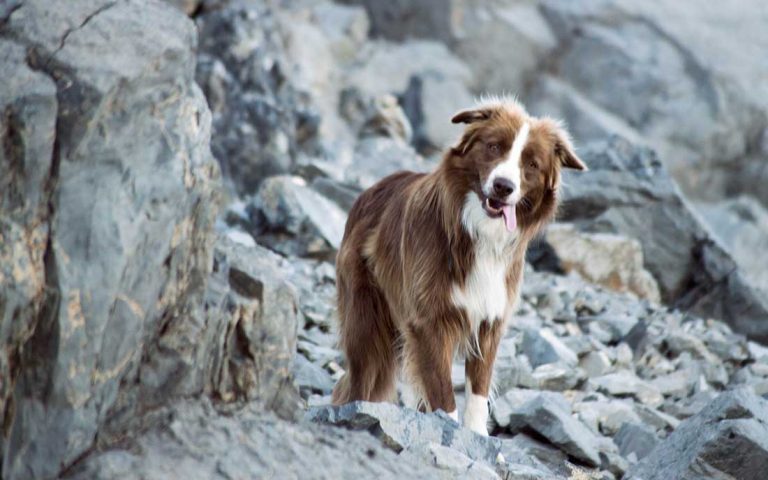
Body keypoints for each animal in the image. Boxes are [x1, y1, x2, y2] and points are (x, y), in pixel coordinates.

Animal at [332, 96, 588, 436]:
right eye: (494, 147)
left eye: (532, 164)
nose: (503, 186)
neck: (479, 234)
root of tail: (371, 190)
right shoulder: (429, 321)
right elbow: (442, 392)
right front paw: (449, 432)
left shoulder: (490, 321)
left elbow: (478, 390)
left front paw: (477, 436)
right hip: (365, 320)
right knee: (361, 377)